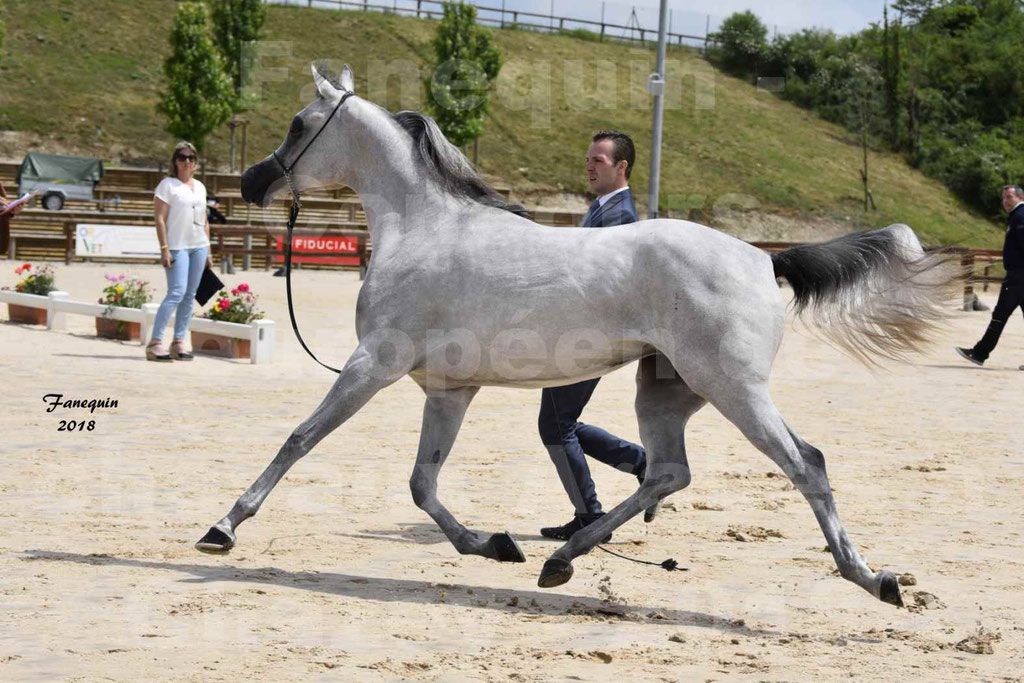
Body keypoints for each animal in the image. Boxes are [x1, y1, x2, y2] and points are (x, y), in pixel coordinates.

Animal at [195, 65, 954, 610]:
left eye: (299, 124)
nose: (252, 182)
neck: (424, 228)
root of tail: (765, 260)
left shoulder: (372, 363)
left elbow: (299, 439)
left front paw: (222, 528)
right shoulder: (449, 389)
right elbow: (422, 483)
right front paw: (493, 544)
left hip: (734, 389)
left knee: (806, 464)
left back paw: (873, 579)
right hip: (666, 391)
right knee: (669, 469)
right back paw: (561, 558)